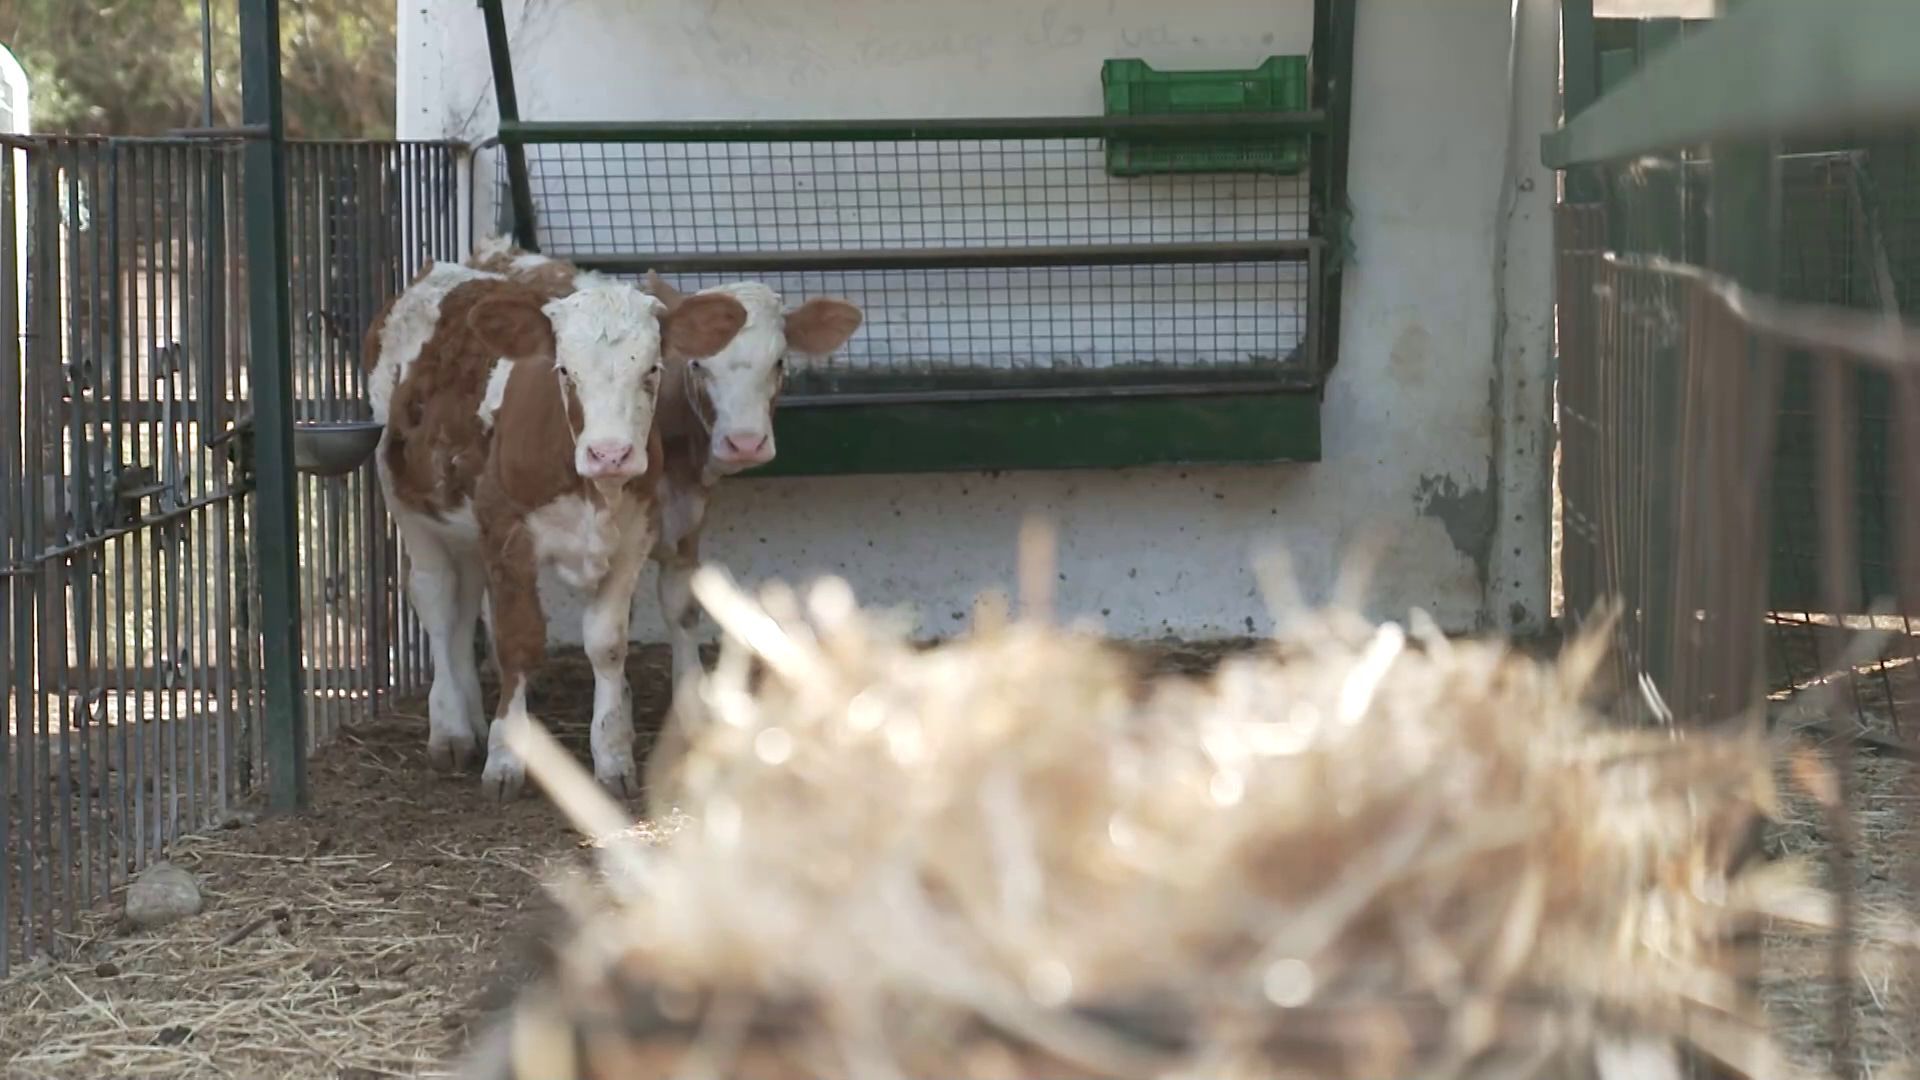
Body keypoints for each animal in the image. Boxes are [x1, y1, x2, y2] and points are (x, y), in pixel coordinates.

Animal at [364, 258, 750, 800]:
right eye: (565, 371)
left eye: (652, 370)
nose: (610, 453)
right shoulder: (508, 535)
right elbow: (518, 643)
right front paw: (506, 759)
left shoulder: (634, 536)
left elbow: (606, 644)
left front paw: (613, 758)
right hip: (406, 503)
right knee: (437, 602)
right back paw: (452, 729)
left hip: (468, 530)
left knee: (465, 605)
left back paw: (472, 719)